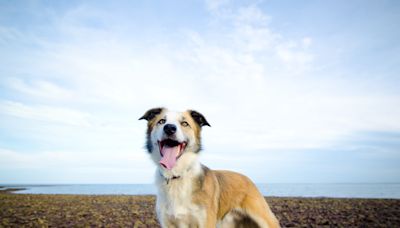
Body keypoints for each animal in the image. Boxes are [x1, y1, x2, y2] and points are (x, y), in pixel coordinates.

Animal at [139, 108, 280, 227]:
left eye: (184, 123)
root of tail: (246, 178)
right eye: (161, 121)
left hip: (265, 220)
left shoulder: (205, 222)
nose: (169, 128)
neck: (177, 175)